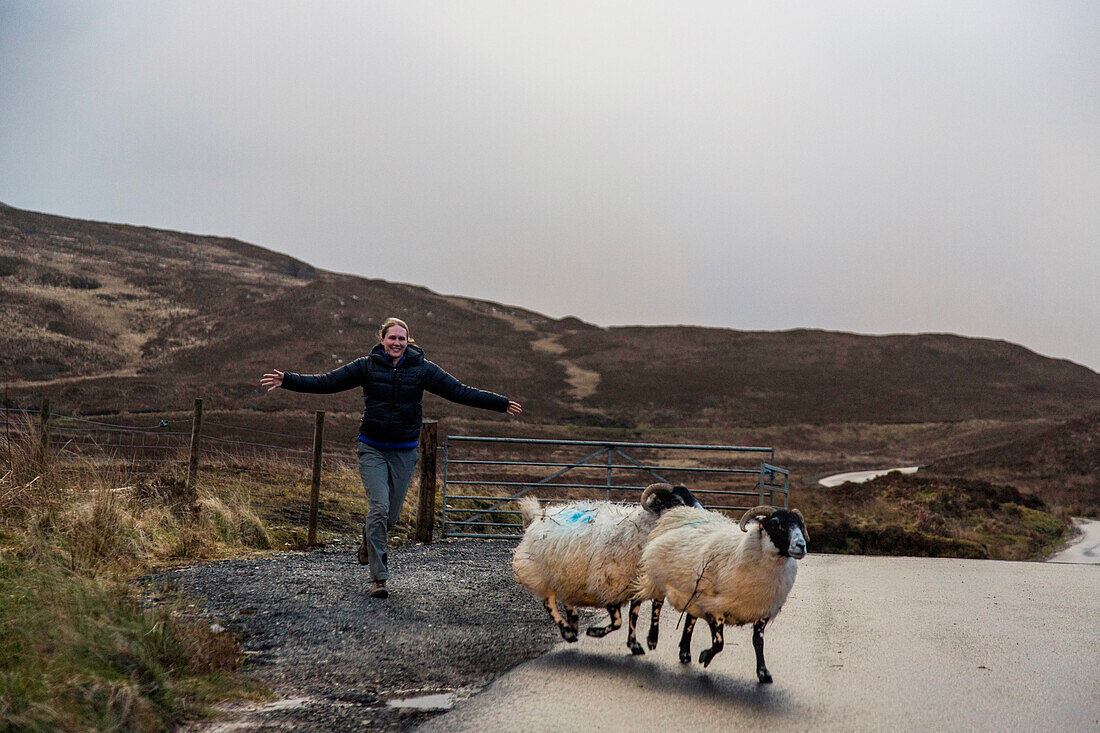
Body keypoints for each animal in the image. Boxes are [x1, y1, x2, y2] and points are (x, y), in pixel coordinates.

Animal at [510, 482, 699, 651]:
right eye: (675, 500)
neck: (638, 530)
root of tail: (537, 516)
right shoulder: (608, 583)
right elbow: (617, 622)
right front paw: (595, 632)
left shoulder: (635, 584)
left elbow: (633, 616)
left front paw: (634, 644)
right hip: (540, 572)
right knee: (549, 603)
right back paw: (567, 632)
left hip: (564, 574)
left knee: (565, 599)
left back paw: (573, 624)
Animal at [638, 501, 809, 677]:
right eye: (775, 523)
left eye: (801, 525)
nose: (801, 545)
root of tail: (678, 511)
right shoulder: (715, 607)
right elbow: (719, 643)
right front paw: (705, 656)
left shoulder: (763, 611)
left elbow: (758, 642)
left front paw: (763, 672)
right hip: (657, 577)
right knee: (656, 605)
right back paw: (652, 639)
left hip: (693, 595)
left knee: (689, 619)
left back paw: (685, 653)